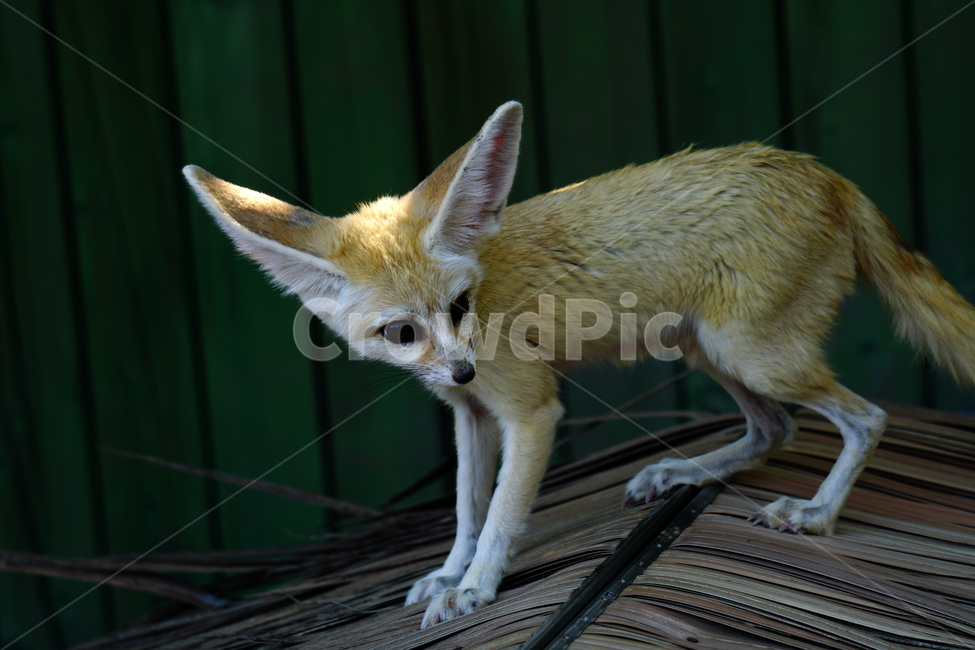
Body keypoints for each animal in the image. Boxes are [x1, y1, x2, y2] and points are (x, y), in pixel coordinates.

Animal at [183, 101, 975, 628]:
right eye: (402, 332)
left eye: (460, 306)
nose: (463, 371)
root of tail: (822, 173)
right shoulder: (470, 418)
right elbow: (465, 510)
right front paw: (447, 572)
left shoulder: (531, 412)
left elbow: (500, 516)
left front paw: (475, 587)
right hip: (709, 350)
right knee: (774, 429)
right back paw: (683, 473)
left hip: (751, 356)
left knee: (867, 417)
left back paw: (815, 513)